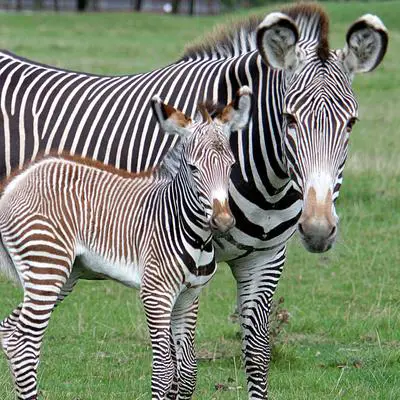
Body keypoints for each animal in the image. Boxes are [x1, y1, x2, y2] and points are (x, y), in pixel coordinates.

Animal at [0, 88, 253, 400]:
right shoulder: (156, 295)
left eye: (231, 166)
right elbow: (163, 371)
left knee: (11, 335)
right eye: (194, 169)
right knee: (24, 342)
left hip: (62, 274)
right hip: (46, 266)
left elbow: (188, 371)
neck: (185, 226)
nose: (223, 222)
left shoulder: (189, 297)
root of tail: (18, 181)